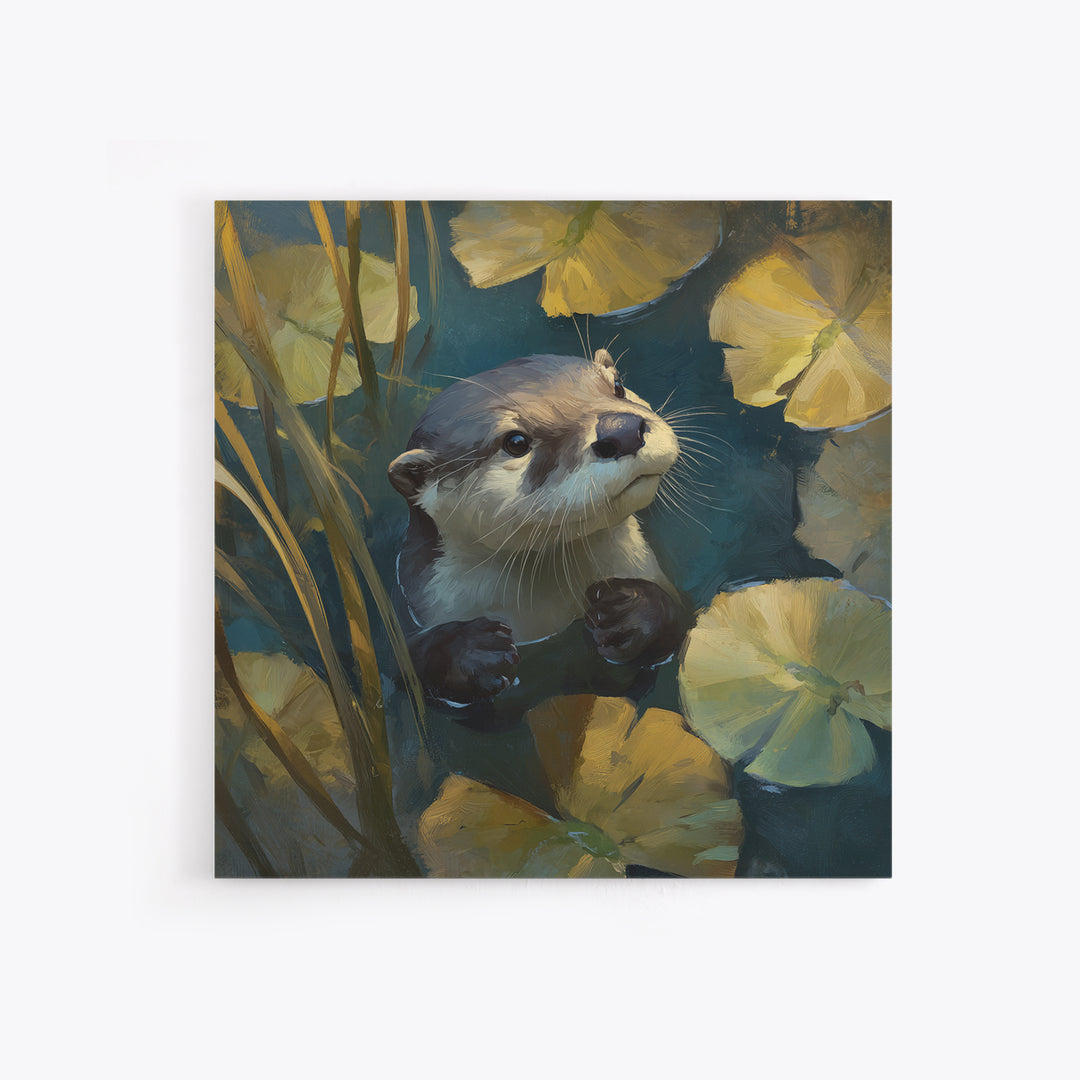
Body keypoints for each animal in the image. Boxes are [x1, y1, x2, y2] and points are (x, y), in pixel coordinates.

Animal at [388, 349, 685, 706]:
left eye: (617, 386)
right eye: (516, 442)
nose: (622, 429)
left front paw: (633, 612)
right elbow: (405, 667)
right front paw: (470, 652)